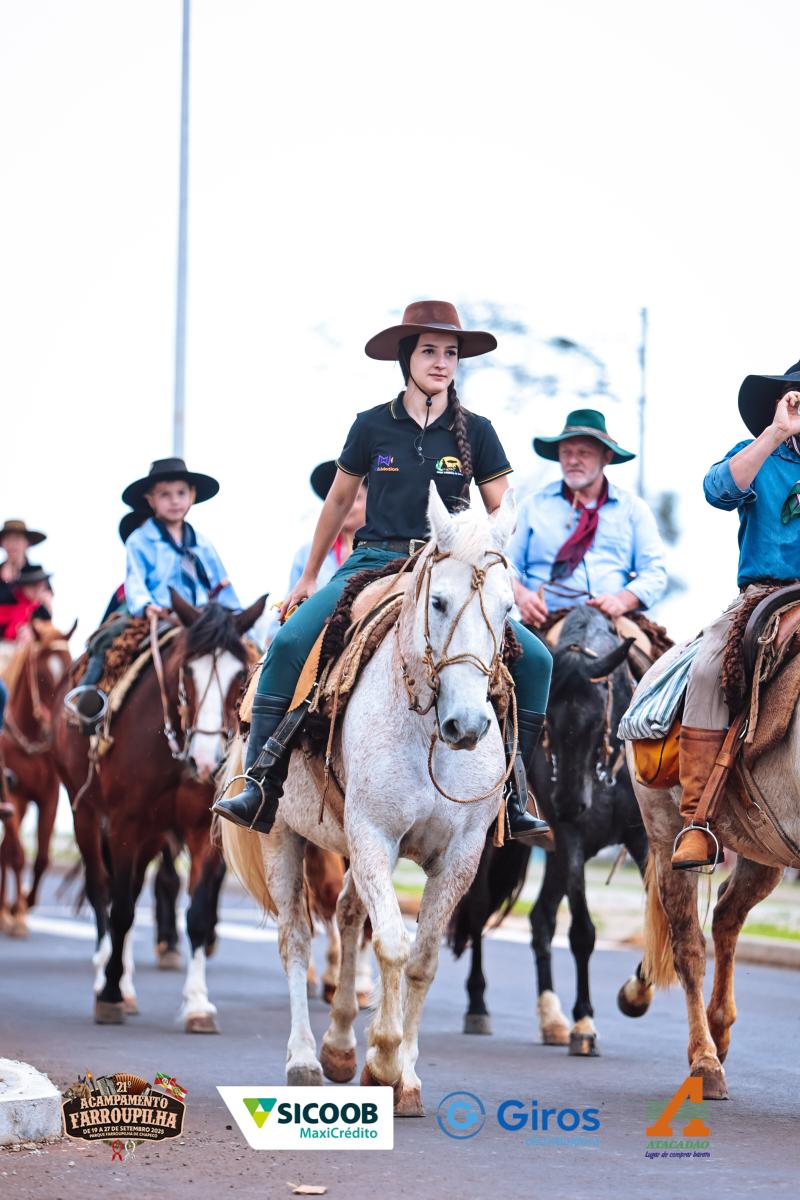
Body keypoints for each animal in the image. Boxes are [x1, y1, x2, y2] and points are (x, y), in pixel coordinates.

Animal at [52, 591, 266, 1031]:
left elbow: (196, 915)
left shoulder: (202, 830)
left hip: (150, 836)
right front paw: (110, 994)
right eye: (187, 672)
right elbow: (120, 912)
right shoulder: (123, 823)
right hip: (86, 817)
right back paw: (108, 978)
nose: (207, 760)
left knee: (131, 891)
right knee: (102, 893)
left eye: (240, 675)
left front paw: (197, 1003)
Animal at [220, 486, 519, 1114]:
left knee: (347, 914)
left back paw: (337, 1046)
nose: (468, 725)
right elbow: (392, 945)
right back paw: (306, 1059)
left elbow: (422, 958)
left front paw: (406, 1074)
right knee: (297, 937)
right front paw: (382, 1059)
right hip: (285, 835)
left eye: (507, 610)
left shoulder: (458, 856)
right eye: (439, 602)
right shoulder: (375, 836)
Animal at [449, 604, 654, 1053]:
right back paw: (478, 1006)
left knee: (540, 918)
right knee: (479, 910)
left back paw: (551, 1018)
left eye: (598, 717)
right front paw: (585, 1023)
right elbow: (582, 932)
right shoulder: (571, 837)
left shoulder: (641, 836)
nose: (568, 803)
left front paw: (636, 993)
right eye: (549, 725)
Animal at [623, 639, 800, 1099]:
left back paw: (718, 1031)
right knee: (689, 947)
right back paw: (705, 1061)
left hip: (764, 851)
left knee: (726, 915)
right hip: (668, 836)